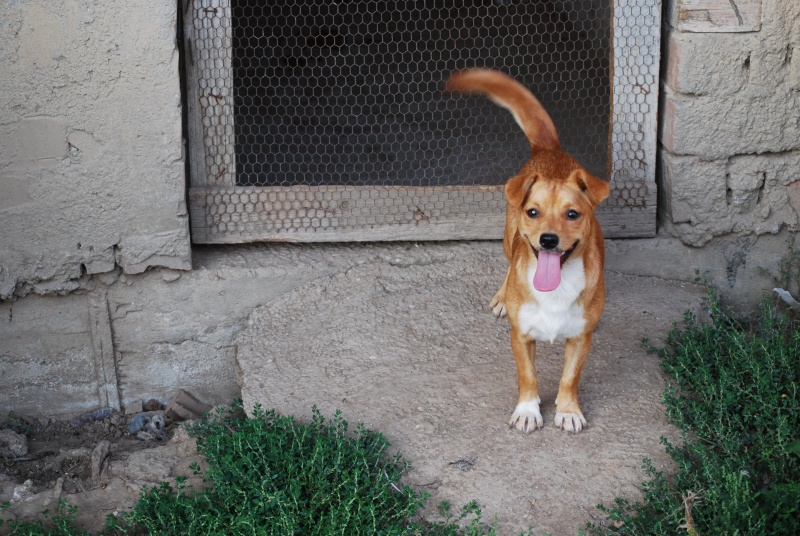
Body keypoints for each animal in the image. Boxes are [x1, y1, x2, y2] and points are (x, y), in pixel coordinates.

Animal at [446, 69, 608, 434]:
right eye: (533, 212)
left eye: (572, 214)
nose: (548, 240)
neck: (555, 288)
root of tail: (550, 150)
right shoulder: (520, 337)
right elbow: (528, 376)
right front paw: (528, 410)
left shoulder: (581, 339)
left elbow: (569, 378)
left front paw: (568, 410)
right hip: (509, 239)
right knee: (508, 265)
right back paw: (502, 296)